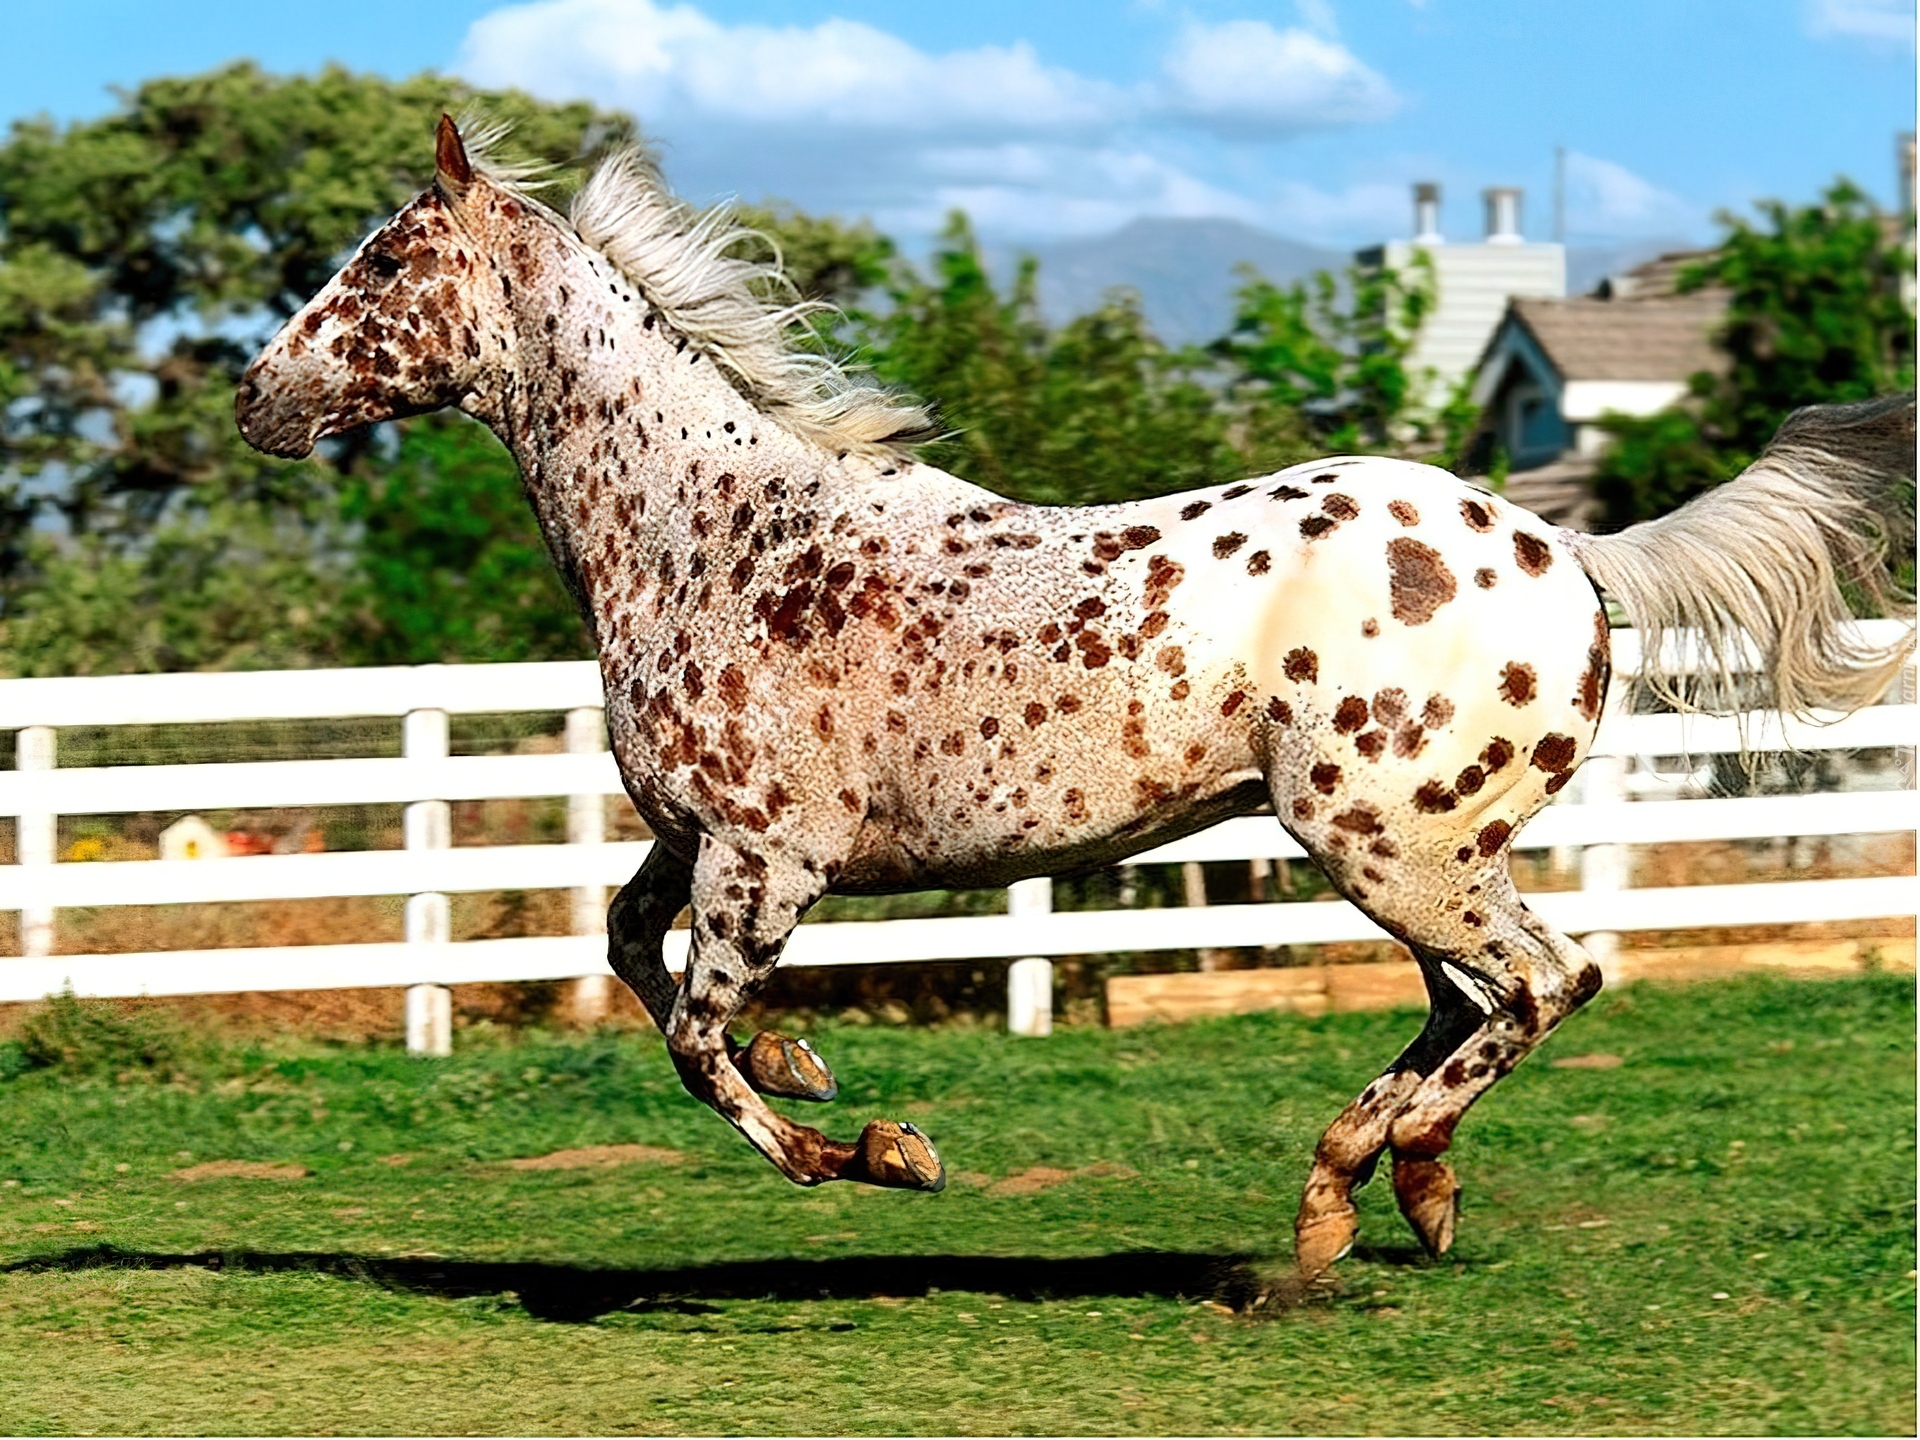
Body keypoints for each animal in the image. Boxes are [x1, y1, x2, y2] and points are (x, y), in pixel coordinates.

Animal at [232, 121, 1912, 1282]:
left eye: (380, 265)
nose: (254, 396)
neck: (713, 534)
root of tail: (1565, 547)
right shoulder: (692, 841)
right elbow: (633, 957)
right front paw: (814, 1067)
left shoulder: (768, 858)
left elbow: (699, 1042)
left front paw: (884, 1150)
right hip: (1414, 850)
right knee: (1473, 1002)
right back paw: (1368, 1195)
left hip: (1390, 841)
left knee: (1542, 985)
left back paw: (1377, 1181)